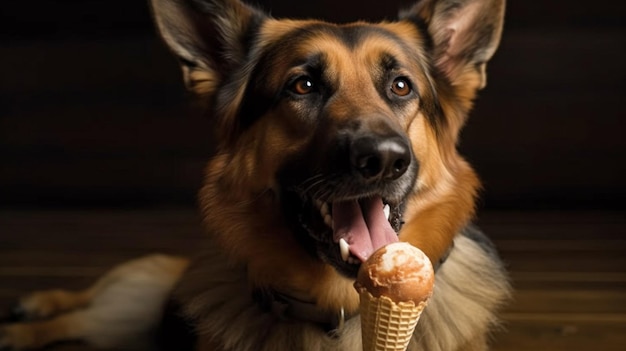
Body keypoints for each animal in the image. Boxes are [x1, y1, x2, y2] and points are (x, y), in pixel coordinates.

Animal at [0, 0, 508, 351]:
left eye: (400, 86)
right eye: (303, 85)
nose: (382, 160)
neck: (345, 308)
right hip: (143, 284)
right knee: (85, 305)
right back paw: (32, 316)